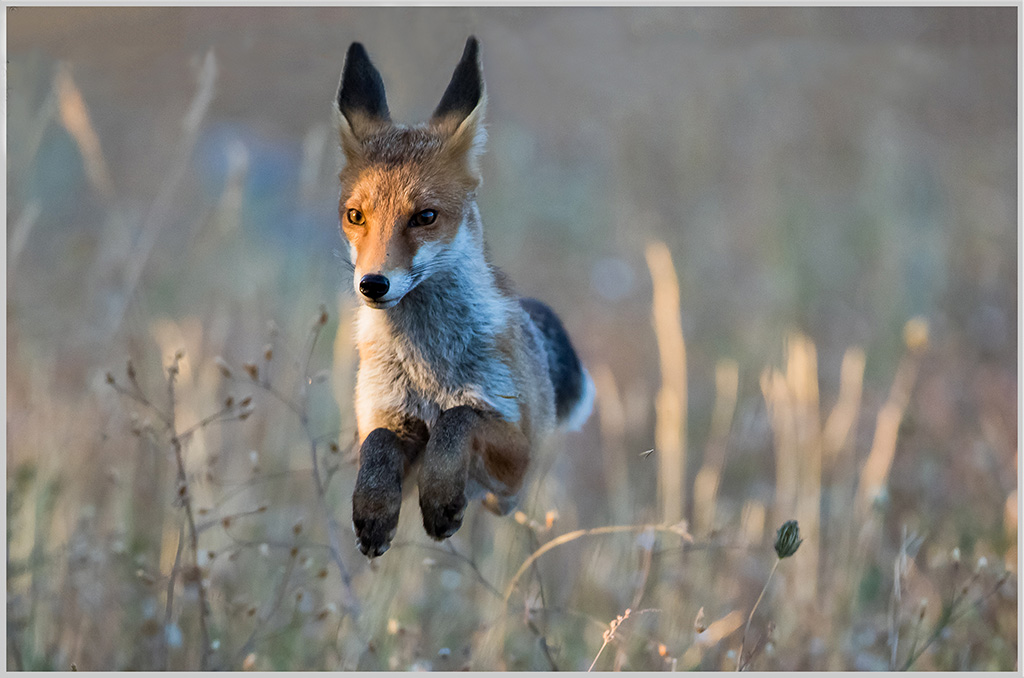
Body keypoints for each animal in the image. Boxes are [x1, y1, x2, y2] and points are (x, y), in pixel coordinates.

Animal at [335, 36, 594, 558]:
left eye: (425, 217)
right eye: (355, 216)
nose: (373, 284)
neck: (427, 369)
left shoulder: (516, 454)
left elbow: (459, 419)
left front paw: (440, 499)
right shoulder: (389, 421)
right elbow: (377, 441)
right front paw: (372, 512)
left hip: (507, 495)